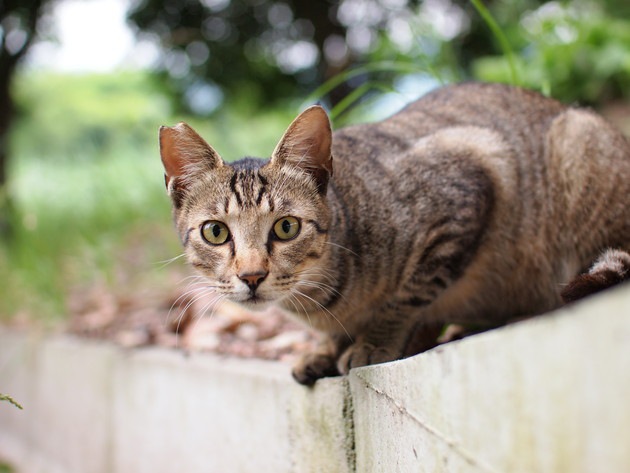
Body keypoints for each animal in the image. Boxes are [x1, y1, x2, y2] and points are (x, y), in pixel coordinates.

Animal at [160, 82, 630, 384]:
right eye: (216, 232)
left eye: (286, 227)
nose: (252, 276)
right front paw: (326, 349)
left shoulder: (474, 174)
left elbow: (410, 294)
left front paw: (375, 342)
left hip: (577, 144)